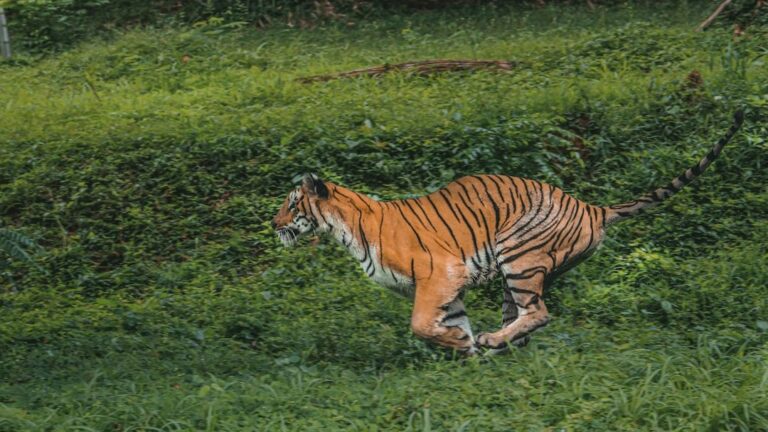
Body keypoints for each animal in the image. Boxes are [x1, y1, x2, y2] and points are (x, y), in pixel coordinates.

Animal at [271, 111, 744, 356]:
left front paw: (463, 344)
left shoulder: (440, 274)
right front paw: (465, 349)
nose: (274, 225)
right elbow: (449, 322)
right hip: (513, 274)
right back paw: (498, 345)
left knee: (538, 313)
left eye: (292, 204)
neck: (346, 228)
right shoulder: (449, 288)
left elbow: (421, 324)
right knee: (523, 319)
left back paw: (494, 340)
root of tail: (591, 206)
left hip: (519, 258)